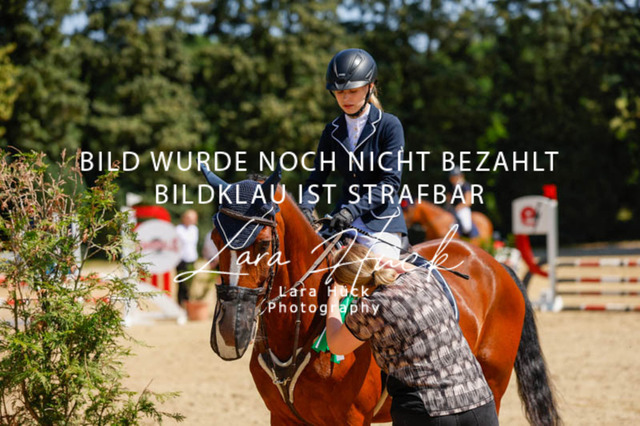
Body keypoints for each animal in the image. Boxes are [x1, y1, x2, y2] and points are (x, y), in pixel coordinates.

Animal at [201, 167, 560, 426]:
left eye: (263, 244)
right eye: (215, 240)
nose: (229, 334)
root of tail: (493, 263)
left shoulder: (350, 420)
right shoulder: (283, 418)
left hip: (493, 384)